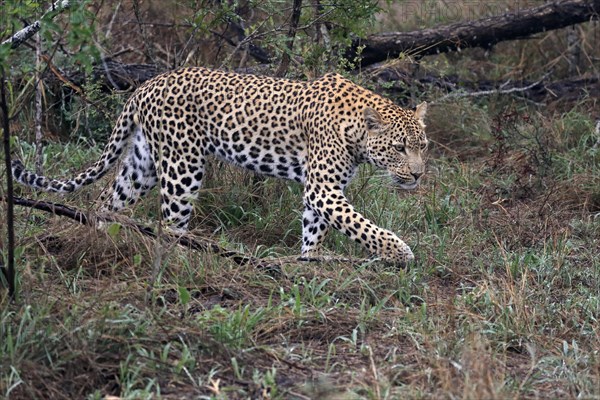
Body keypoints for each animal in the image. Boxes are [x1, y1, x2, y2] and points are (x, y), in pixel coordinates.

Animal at [12, 67, 426, 266]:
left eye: (422, 147)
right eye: (400, 148)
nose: (419, 174)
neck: (356, 130)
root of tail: (146, 84)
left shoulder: (321, 191)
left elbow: (316, 228)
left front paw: (310, 259)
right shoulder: (322, 187)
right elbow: (360, 224)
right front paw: (399, 252)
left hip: (142, 164)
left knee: (105, 202)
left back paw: (98, 242)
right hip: (182, 166)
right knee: (170, 223)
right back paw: (184, 257)